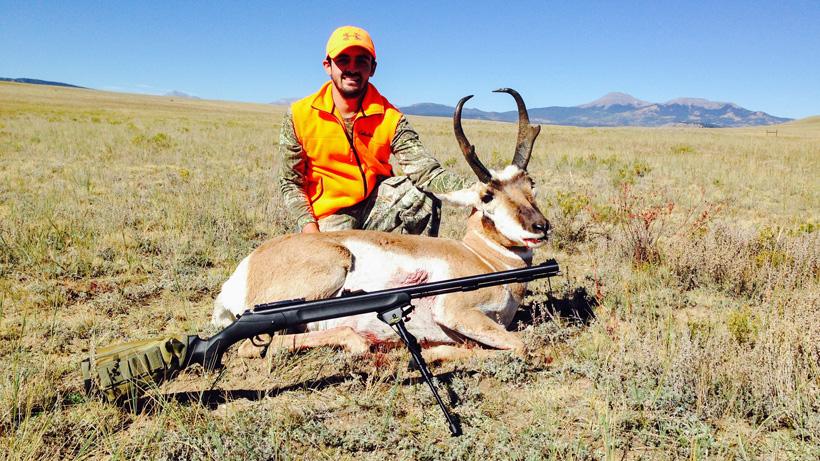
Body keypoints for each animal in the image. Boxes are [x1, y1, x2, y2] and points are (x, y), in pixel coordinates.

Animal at [211, 88, 549, 362]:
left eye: (531, 184)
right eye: (487, 196)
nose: (540, 226)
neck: (483, 258)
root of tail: (245, 269)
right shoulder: (458, 312)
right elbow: (520, 346)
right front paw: (428, 354)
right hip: (334, 264)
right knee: (257, 347)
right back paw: (359, 342)